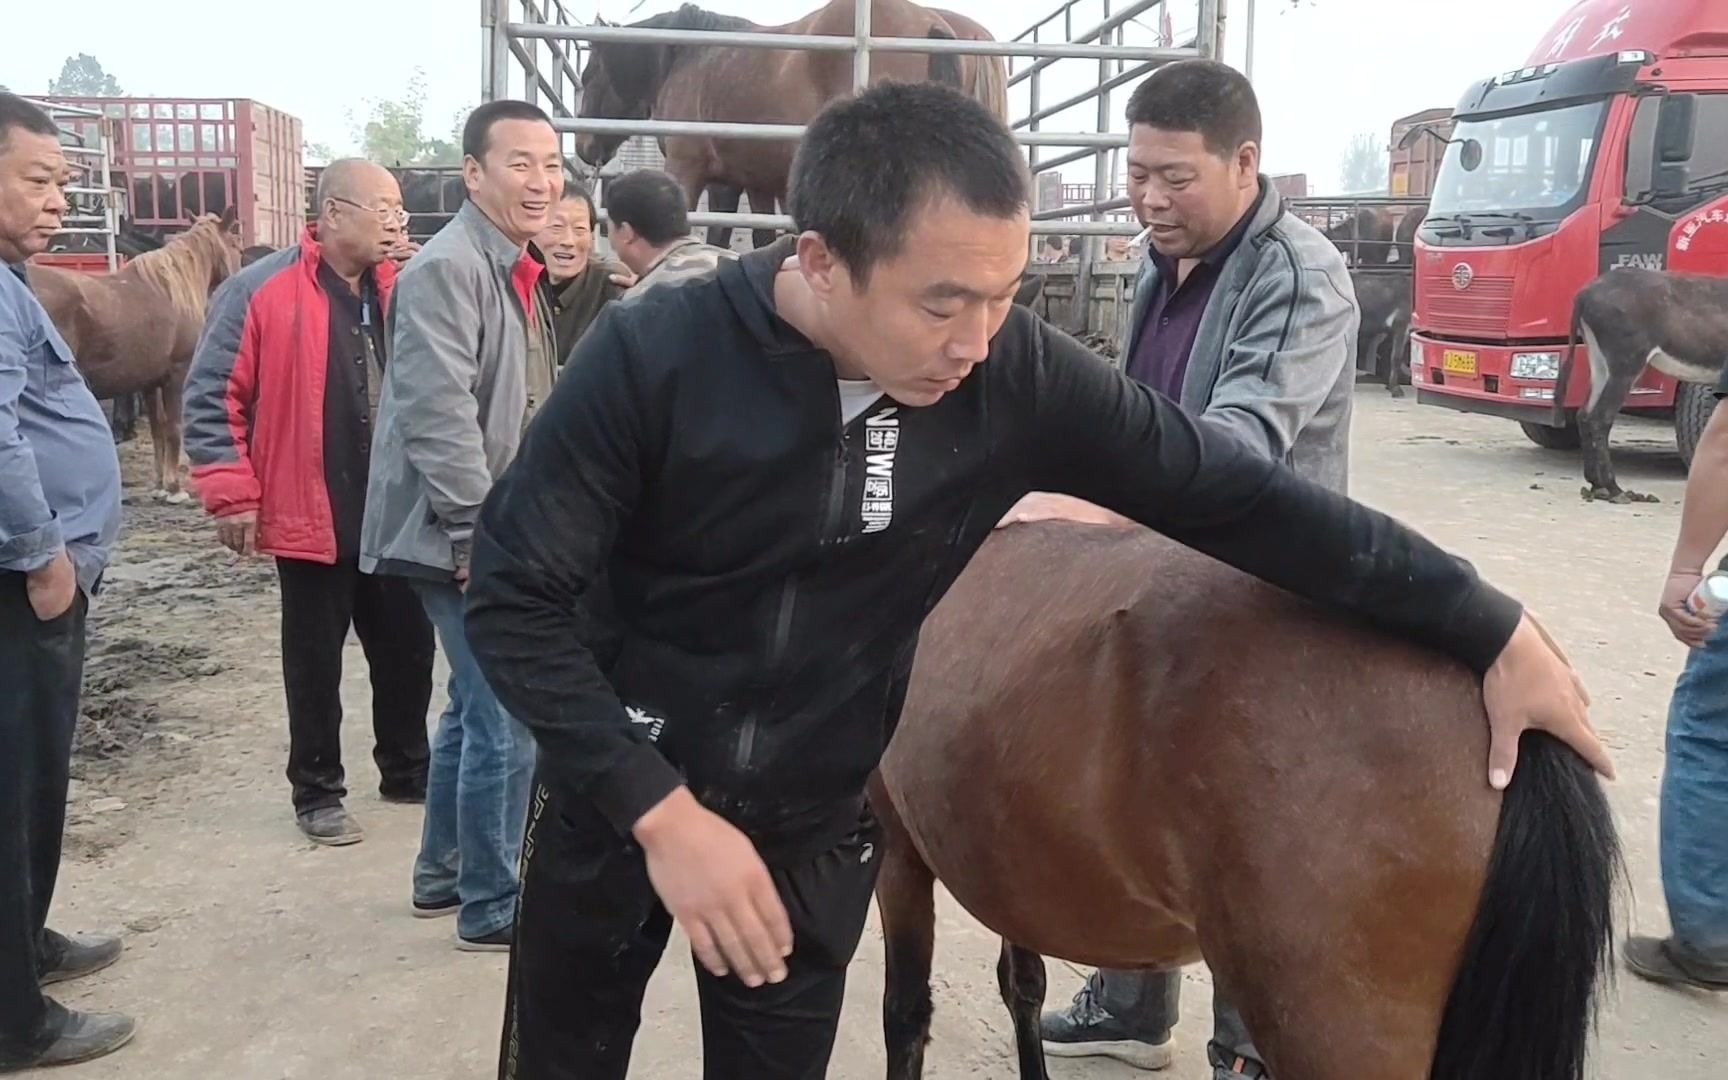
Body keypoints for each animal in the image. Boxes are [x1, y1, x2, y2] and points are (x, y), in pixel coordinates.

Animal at [27, 210, 243, 501]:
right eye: (236, 245)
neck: (171, 288)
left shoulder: (150, 382)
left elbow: (157, 430)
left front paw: (160, 485)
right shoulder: (176, 375)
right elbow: (173, 427)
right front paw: (174, 488)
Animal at [573, 1, 1009, 248]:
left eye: (588, 75)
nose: (584, 150)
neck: (690, 56)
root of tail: (936, 23)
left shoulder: (691, 169)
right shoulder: (752, 182)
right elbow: (754, 236)